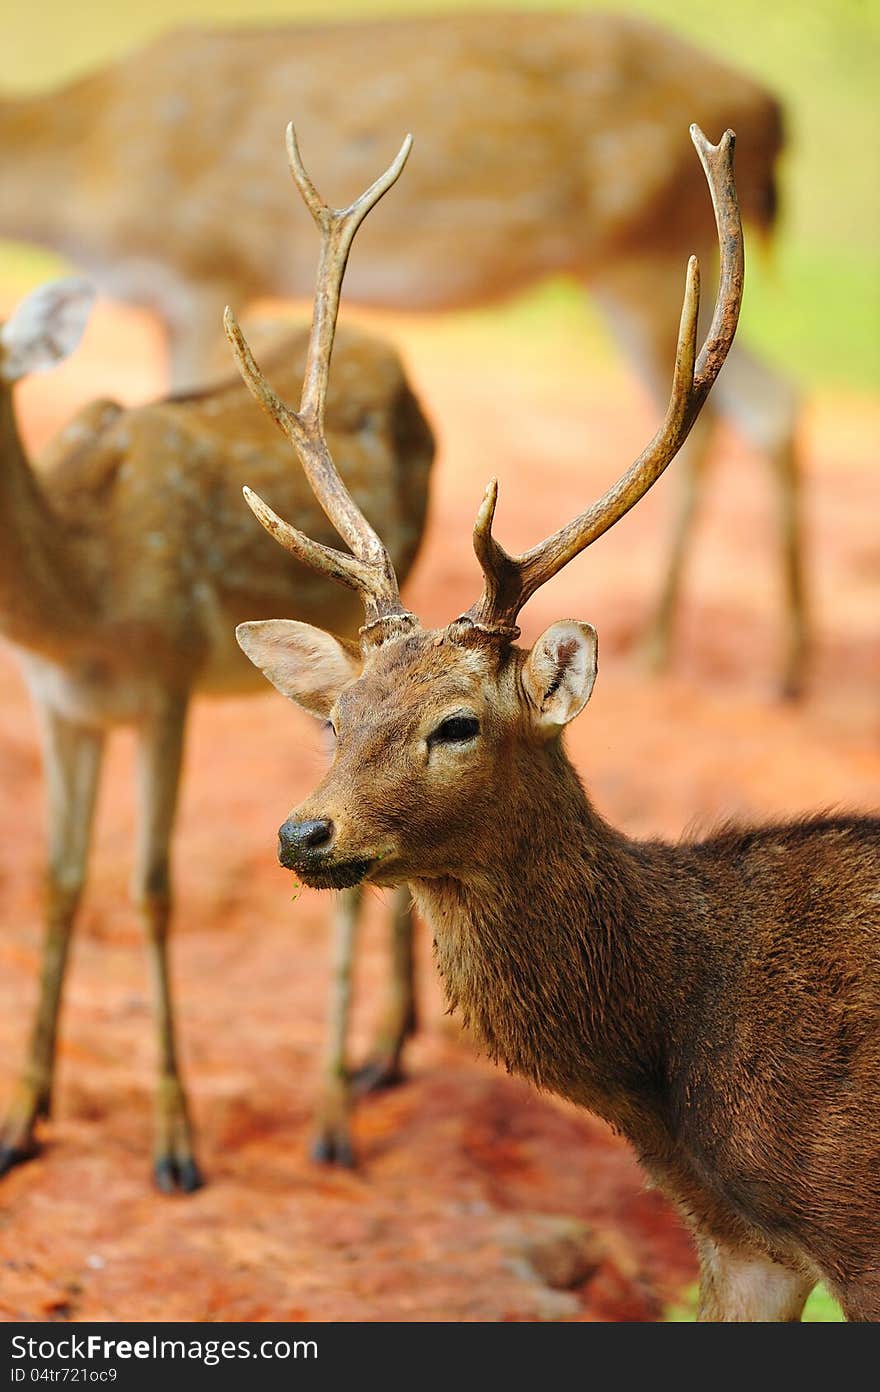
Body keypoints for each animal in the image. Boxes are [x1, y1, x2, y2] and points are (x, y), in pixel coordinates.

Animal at [0, 10, 807, 696]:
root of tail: (770, 105)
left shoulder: (204, 273)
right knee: (763, 406)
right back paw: (743, 659)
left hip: (646, 256)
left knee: (748, 409)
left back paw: (724, 658)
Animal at [0, 274, 434, 1197]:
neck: (75, 604)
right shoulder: (56, 704)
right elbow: (57, 883)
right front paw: (20, 1123)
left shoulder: (167, 682)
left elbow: (151, 890)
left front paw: (176, 1147)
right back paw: (387, 1054)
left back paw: (335, 1114)